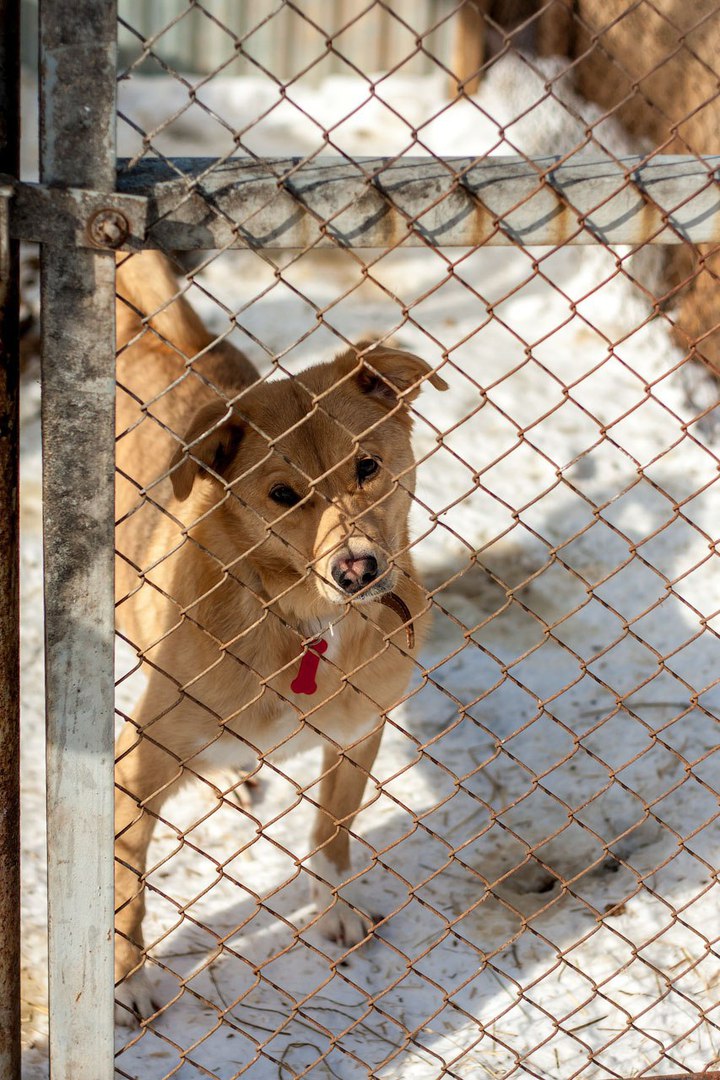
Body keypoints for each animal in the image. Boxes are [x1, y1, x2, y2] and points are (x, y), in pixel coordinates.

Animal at [113, 252, 446, 1019]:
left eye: (367, 465)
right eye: (283, 495)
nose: (357, 570)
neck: (305, 624)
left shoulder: (358, 733)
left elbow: (332, 833)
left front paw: (336, 912)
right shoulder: (134, 767)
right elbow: (126, 889)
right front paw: (127, 979)